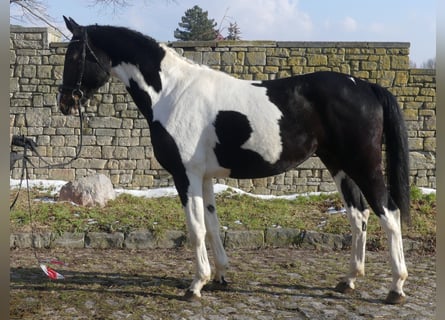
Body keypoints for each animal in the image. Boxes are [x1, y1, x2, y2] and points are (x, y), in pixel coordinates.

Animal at [58, 15, 410, 304]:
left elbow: (195, 228)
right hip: (339, 165)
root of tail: (366, 86)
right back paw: (348, 280)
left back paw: (396, 288)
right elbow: (212, 225)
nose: (65, 102)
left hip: (363, 166)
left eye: (74, 55)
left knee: (389, 214)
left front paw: (196, 284)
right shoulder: (205, 177)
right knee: (359, 216)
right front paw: (220, 276)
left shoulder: (185, 176)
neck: (171, 92)